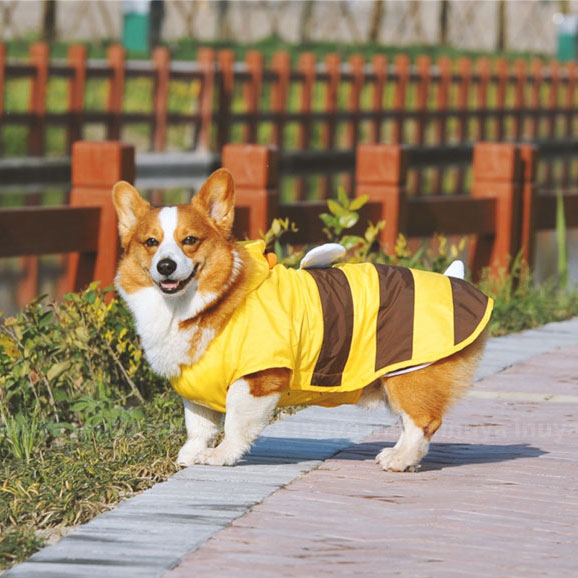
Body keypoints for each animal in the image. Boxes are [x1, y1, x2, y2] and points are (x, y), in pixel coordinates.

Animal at [112, 168, 490, 472]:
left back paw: (400, 459)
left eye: (189, 241)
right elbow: (198, 427)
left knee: (422, 421)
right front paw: (191, 454)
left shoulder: (257, 380)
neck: (197, 304)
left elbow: (235, 423)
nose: (166, 266)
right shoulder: (197, 390)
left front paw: (221, 456)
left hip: (408, 376)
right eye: (151, 242)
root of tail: (456, 282)